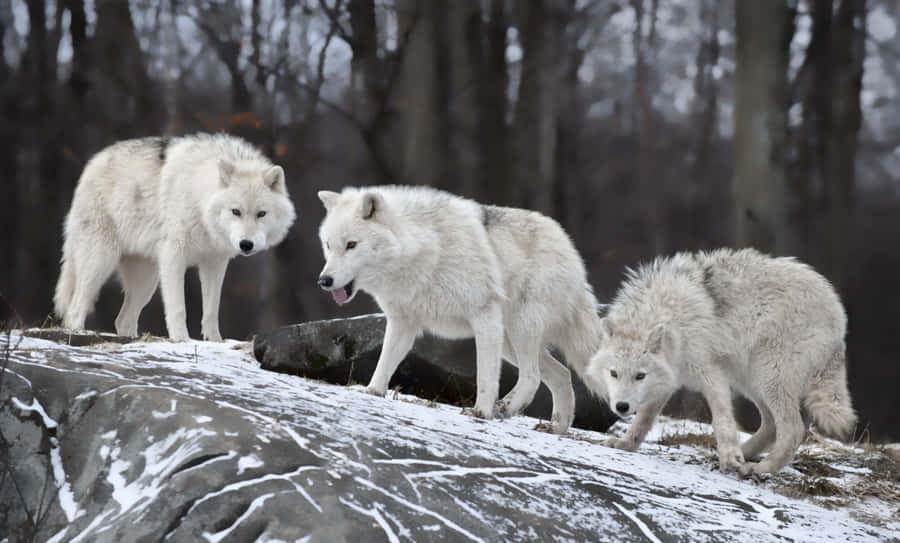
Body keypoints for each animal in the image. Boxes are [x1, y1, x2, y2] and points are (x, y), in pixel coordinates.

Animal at [54, 133, 296, 341]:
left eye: (261, 213)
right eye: (235, 211)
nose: (246, 244)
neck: (199, 196)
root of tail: (92, 163)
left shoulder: (215, 262)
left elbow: (211, 310)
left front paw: (215, 341)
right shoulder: (174, 255)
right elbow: (178, 308)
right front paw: (181, 339)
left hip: (146, 281)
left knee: (123, 320)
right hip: (101, 262)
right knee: (75, 309)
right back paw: (76, 333)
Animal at [316, 185, 605, 433]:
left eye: (351, 244)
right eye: (329, 245)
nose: (324, 281)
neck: (424, 249)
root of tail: (569, 247)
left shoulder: (484, 315)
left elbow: (485, 376)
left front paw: (481, 412)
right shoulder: (402, 323)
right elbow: (385, 362)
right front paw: (373, 392)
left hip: (519, 329)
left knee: (532, 376)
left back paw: (506, 408)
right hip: (509, 341)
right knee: (561, 374)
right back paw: (556, 427)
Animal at [584, 248, 856, 475]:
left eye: (639, 376)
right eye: (614, 374)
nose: (621, 407)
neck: (671, 318)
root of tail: (839, 313)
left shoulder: (710, 373)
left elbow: (722, 419)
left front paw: (730, 457)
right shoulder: (668, 379)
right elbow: (644, 419)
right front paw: (625, 444)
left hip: (768, 377)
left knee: (793, 429)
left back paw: (761, 468)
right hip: (750, 380)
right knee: (771, 426)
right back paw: (744, 455)